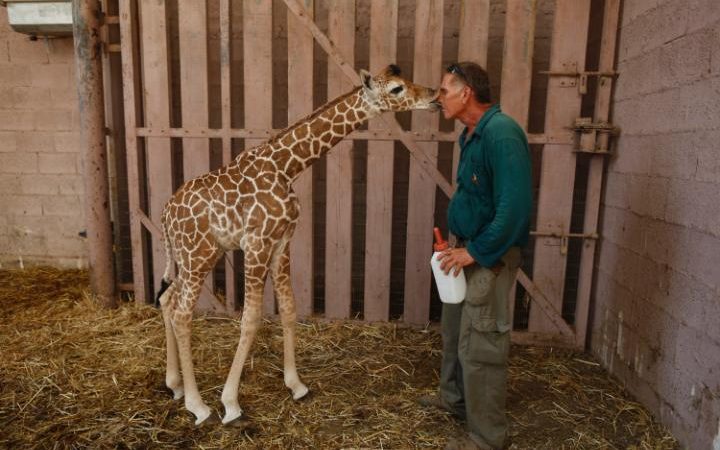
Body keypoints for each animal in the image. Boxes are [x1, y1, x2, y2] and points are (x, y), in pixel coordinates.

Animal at [157, 64, 438, 426]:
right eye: (397, 89)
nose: (434, 96)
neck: (287, 167)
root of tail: (164, 216)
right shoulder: (257, 243)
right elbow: (251, 318)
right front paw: (230, 403)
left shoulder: (282, 242)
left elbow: (289, 309)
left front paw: (296, 385)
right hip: (198, 256)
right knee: (181, 313)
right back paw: (198, 405)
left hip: (192, 256)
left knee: (167, 298)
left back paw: (175, 385)